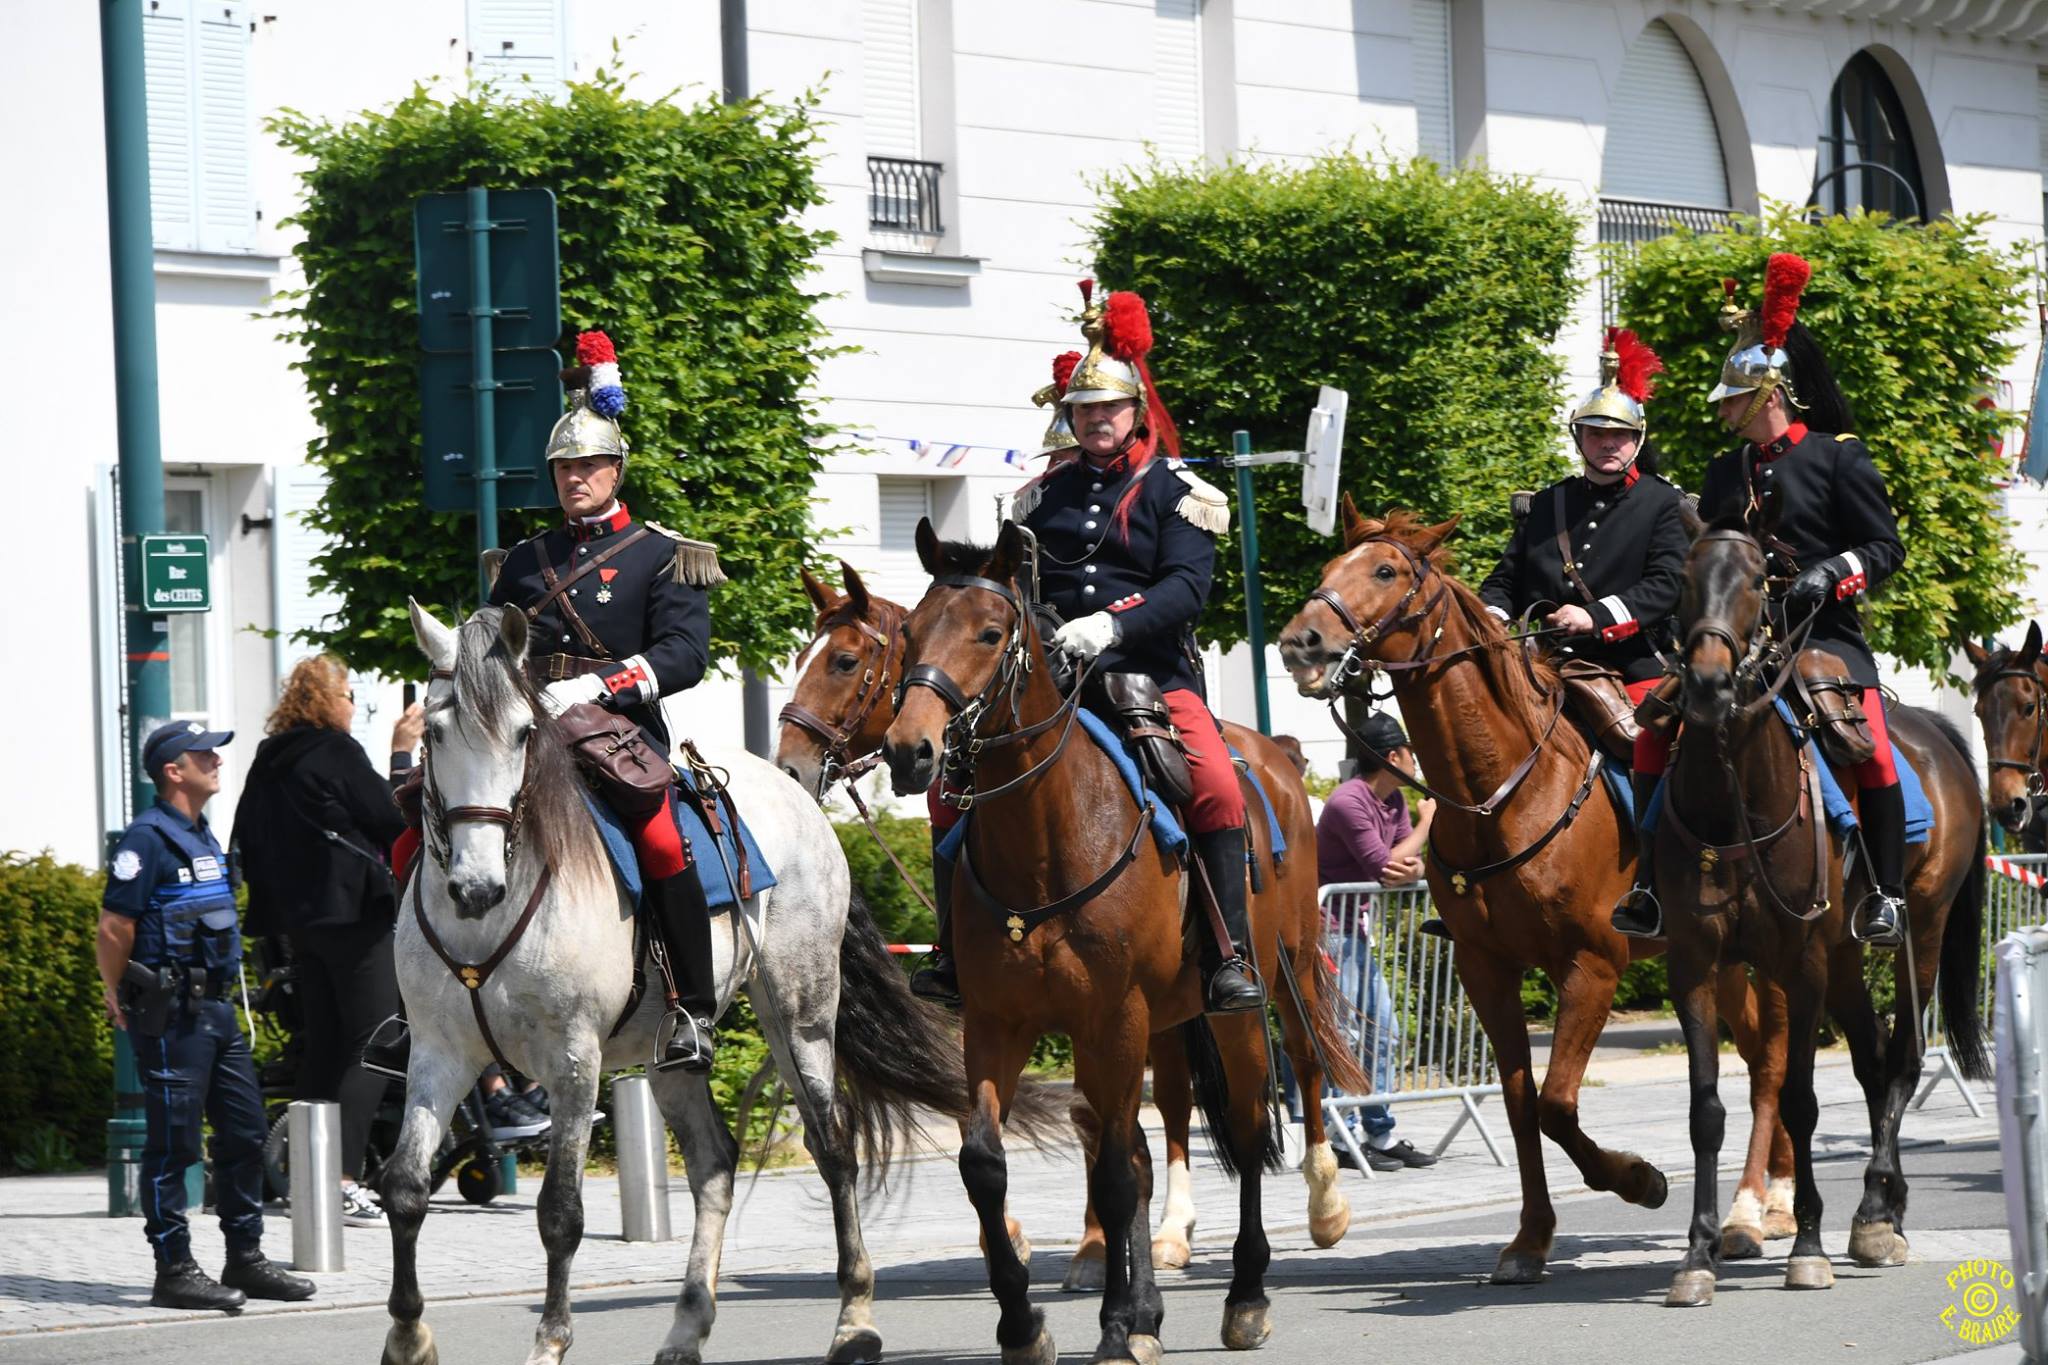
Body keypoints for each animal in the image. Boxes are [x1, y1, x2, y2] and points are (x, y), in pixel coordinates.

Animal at [382, 609, 991, 1365]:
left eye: (524, 732)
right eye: (435, 730)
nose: (475, 885)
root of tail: (794, 789)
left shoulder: (573, 1063)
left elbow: (560, 1212)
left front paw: (550, 1342)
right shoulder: (439, 1053)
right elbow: (405, 1189)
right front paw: (408, 1338)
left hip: (798, 1017)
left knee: (832, 1148)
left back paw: (854, 1319)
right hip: (667, 1052)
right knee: (713, 1162)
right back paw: (686, 1325)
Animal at [774, 560, 1368, 1301]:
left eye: (846, 660)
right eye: (803, 657)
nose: (788, 766)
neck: (1042, 828)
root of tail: (1276, 755)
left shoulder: (1108, 1014)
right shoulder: (1019, 1017)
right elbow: (1067, 1127)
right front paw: (1084, 1249)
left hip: (1282, 968)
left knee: (1302, 1062)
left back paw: (1324, 1205)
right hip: (1173, 1009)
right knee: (1177, 1100)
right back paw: (1172, 1229)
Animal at [1277, 499, 1794, 1285]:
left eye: (1387, 570)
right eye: (1330, 567)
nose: (1300, 641)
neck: (1499, 792)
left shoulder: (1593, 966)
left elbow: (1556, 1103)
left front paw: (1640, 1179)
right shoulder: (1485, 969)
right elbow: (1523, 1104)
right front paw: (1530, 1237)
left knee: (1772, 1057)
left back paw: (1759, 1207)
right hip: (1723, 963)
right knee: (1766, 1051)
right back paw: (1769, 1197)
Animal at [1662, 519, 1982, 1301]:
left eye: (1757, 581)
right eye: (1682, 578)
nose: (1709, 684)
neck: (1735, 801)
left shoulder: (1797, 964)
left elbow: (1801, 1100)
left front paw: (1806, 1244)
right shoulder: (1695, 963)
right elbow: (1706, 1109)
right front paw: (1698, 1253)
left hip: (1919, 931)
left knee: (1902, 1058)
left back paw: (1870, 1211)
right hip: (1842, 955)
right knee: (1869, 1057)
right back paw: (1885, 1209)